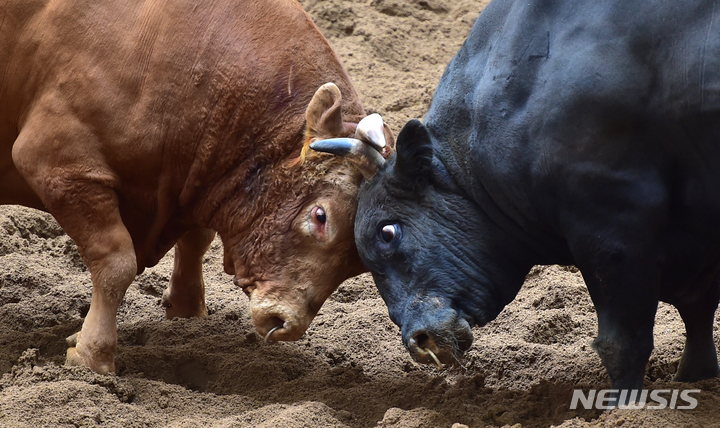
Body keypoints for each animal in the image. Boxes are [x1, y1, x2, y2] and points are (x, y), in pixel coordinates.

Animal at [0, 0, 388, 372]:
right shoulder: (58, 166)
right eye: (321, 216)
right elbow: (115, 261)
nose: (287, 322)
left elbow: (197, 240)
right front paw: (93, 354)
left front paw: (187, 310)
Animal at [312, 0, 720, 404]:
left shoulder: (613, 231)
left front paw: (623, 410)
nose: (419, 341)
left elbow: (622, 343)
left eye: (387, 232)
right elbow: (698, 312)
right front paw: (697, 378)